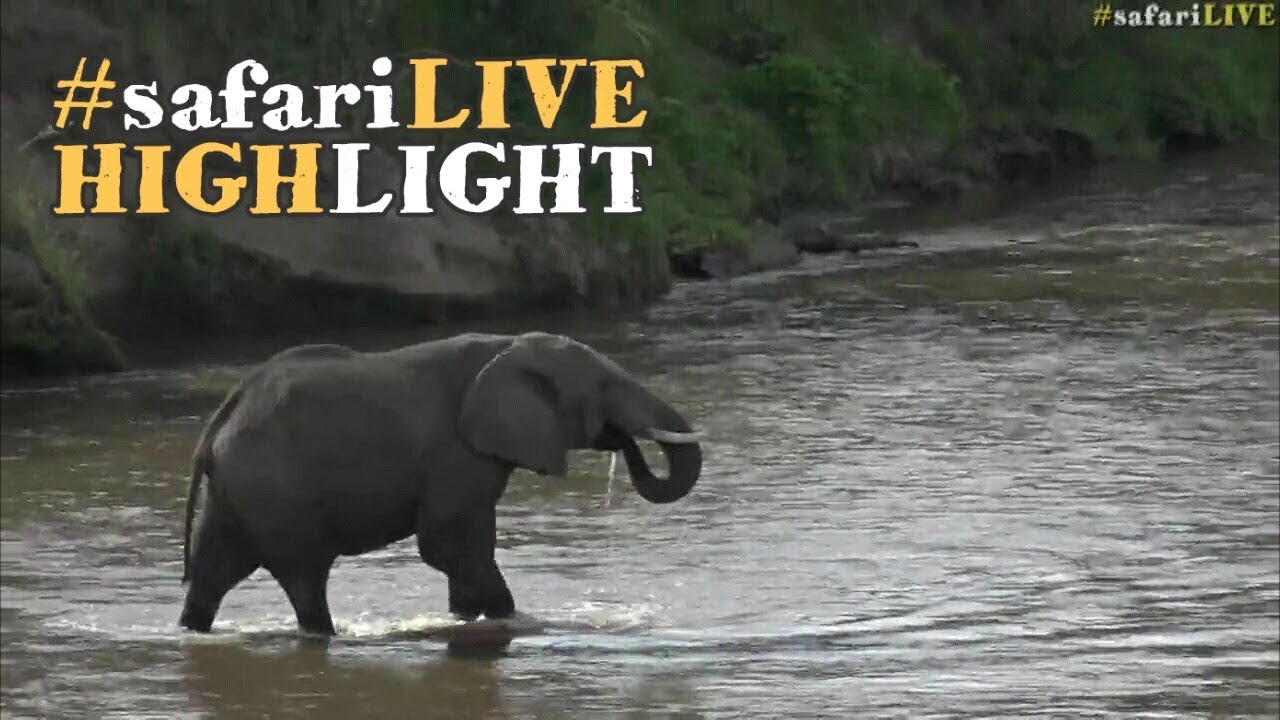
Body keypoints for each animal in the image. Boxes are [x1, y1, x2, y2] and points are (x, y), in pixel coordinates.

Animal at [179, 331, 703, 636]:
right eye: (606, 387)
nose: (621, 439)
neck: (507, 346)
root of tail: (220, 419)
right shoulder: (455, 452)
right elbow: (446, 543)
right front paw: (509, 620)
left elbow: (469, 545)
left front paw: (465, 618)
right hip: (274, 487)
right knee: (305, 577)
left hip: (238, 490)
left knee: (212, 570)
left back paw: (192, 630)